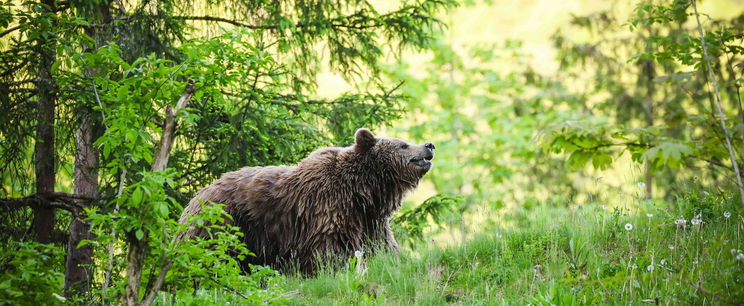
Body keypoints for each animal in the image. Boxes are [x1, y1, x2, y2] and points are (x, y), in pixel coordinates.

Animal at [179, 128, 434, 274]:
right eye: (403, 144)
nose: (429, 145)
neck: (362, 190)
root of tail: (195, 197)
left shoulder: (369, 218)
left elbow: (382, 245)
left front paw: (397, 261)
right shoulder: (328, 208)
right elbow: (332, 250)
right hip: (221, 224)